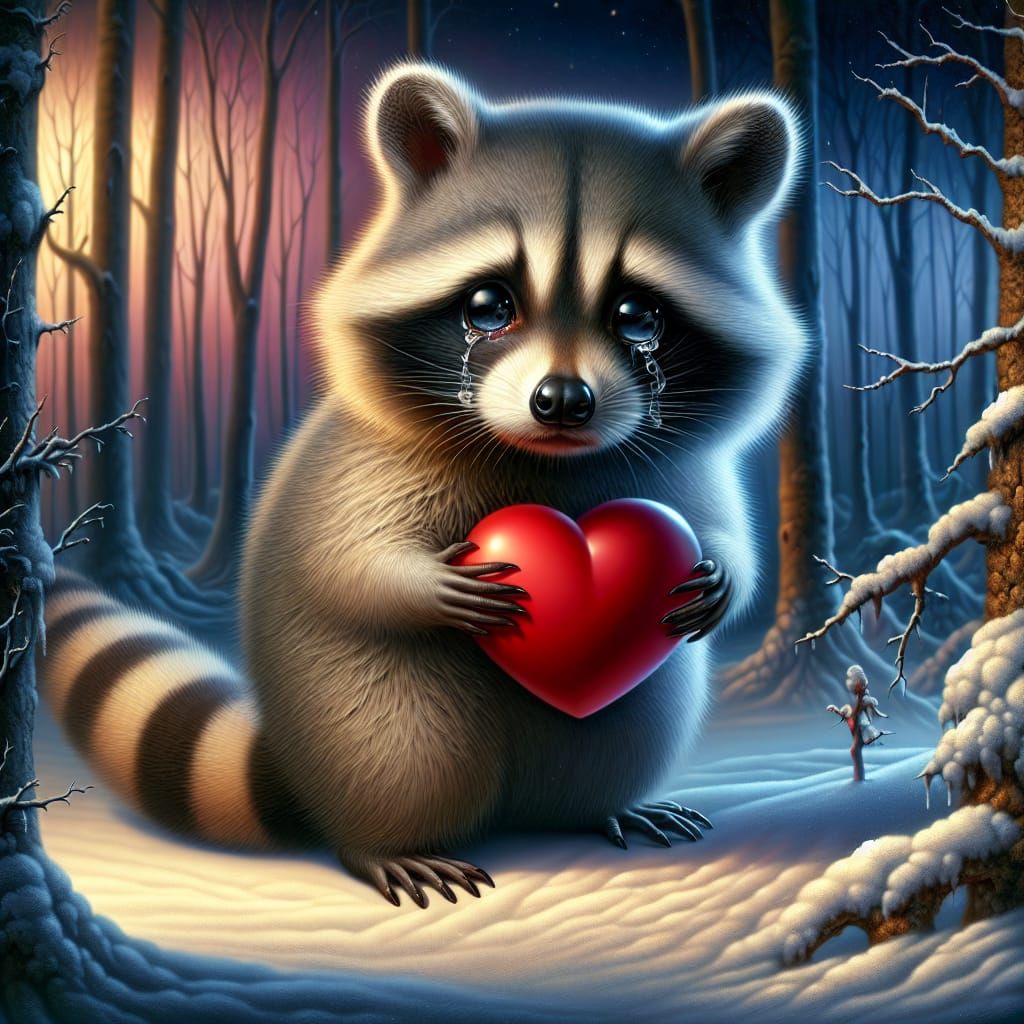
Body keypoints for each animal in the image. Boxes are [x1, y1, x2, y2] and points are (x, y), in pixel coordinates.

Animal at [40, 63, 806, 907]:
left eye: (637, 314)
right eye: (488, 306)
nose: (562, 401)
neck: (547, 459)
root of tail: (298, 772)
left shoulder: (681, 465)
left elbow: (719, 525)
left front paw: (725, 573)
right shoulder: (366, 460)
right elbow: (346, 560)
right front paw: (424, 584)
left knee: (632, 724)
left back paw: (600, 807)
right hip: (356, 708)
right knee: (405, 750)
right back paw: (385, 842)